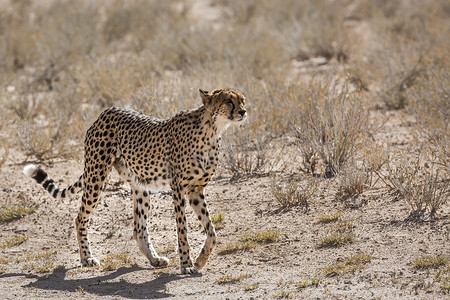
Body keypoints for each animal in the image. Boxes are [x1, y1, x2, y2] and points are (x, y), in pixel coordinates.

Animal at [23, 87, 248, 274]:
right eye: (229, 100)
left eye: (242, 100)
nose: (244, 112)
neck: (212, 129)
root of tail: (106, 111)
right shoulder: (178, 188)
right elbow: (182, 230)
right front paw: (185, 264)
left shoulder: (196, 189)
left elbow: (212, 232)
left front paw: (200, 260)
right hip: (96, 175)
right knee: (81, 218)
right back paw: (87, 258)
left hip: (140, 184)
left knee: (138, 228)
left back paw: (155, 259)